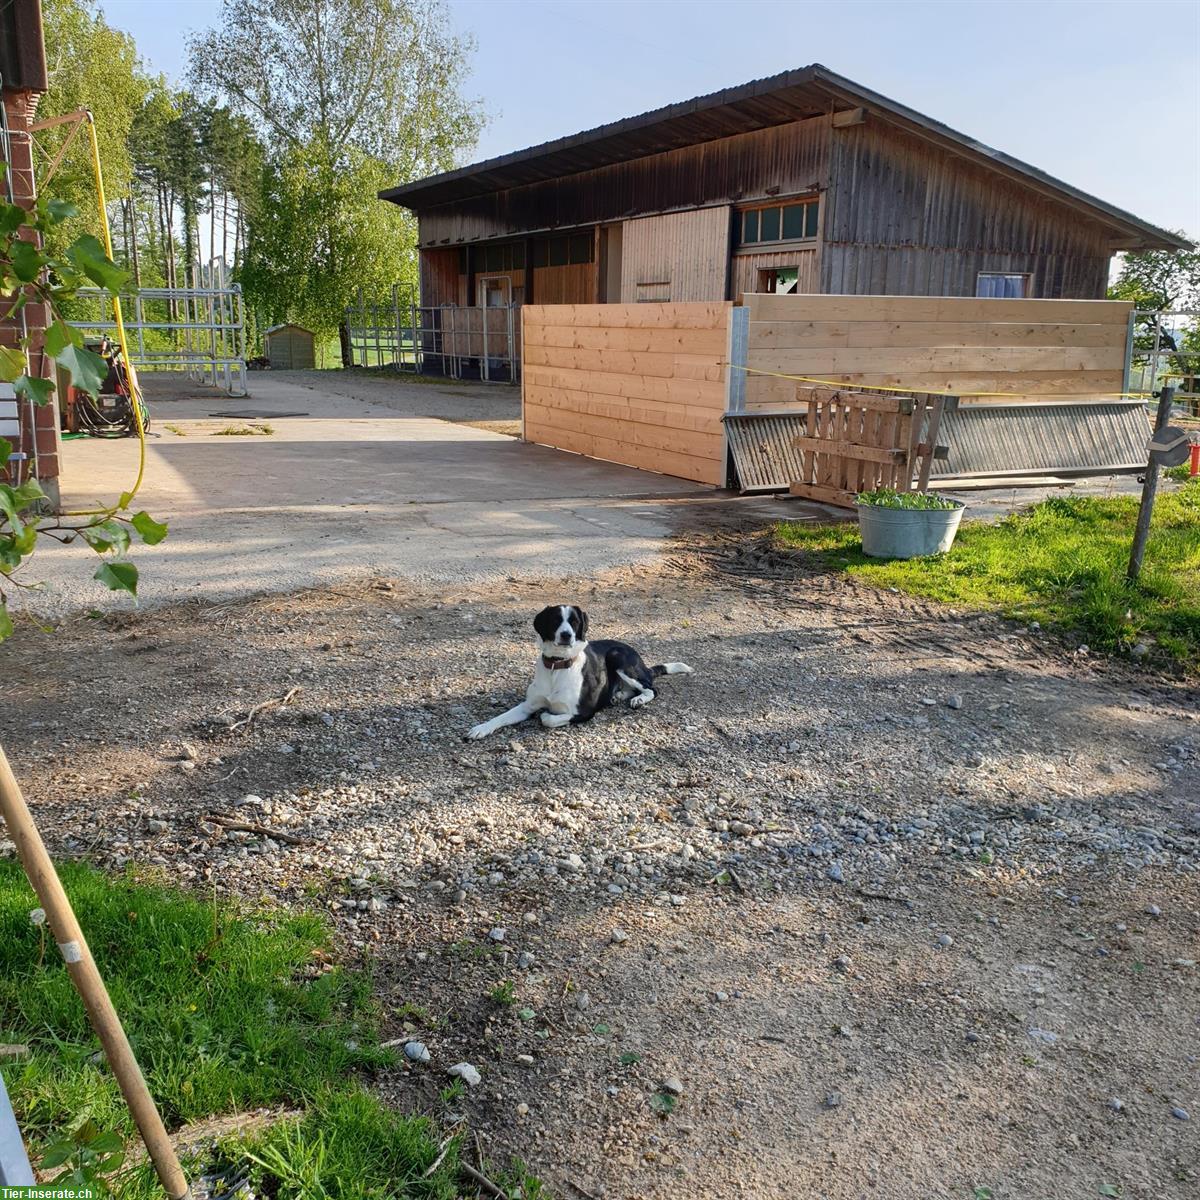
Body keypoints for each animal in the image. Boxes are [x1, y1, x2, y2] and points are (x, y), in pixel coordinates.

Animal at [465, 600, 696, 739]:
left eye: (575, 622)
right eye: (555, 620)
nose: (566, 635)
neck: (557, 666)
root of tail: (642, 663)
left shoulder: (584, 712)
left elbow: (548, 719)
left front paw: (547, 716)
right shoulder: (527, 706)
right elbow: (502, 716)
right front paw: (481, 728)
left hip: (617, 657)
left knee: (651, 688)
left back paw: (638, 699)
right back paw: (618, 695)